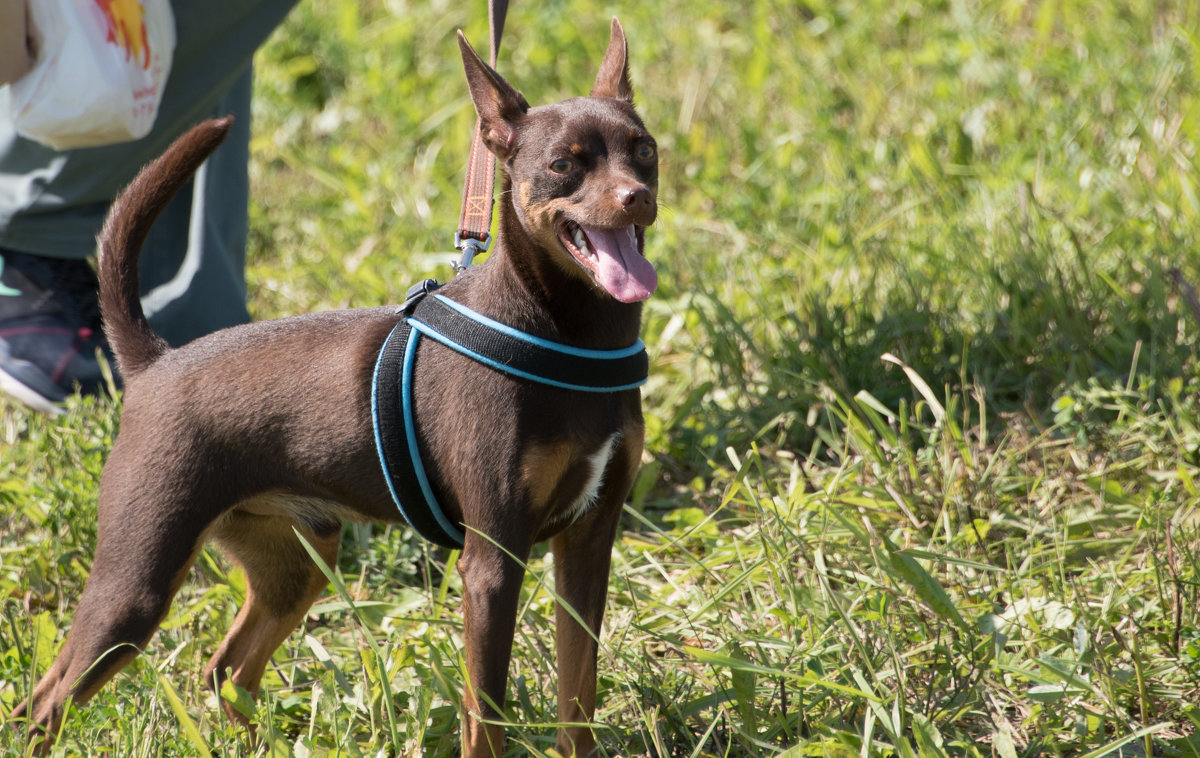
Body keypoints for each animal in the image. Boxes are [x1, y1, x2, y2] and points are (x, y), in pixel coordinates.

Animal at [14, 19, 662, 758]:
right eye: (563, 166)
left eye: (645, 152)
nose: (637, 196)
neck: (576, 334)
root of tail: (154, 364)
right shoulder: (493, 563)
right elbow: (486, 717)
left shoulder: (587, 543)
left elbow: (577, 694)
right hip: (137, 581)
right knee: (47, 703)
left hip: (295, 564)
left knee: (226, 670)